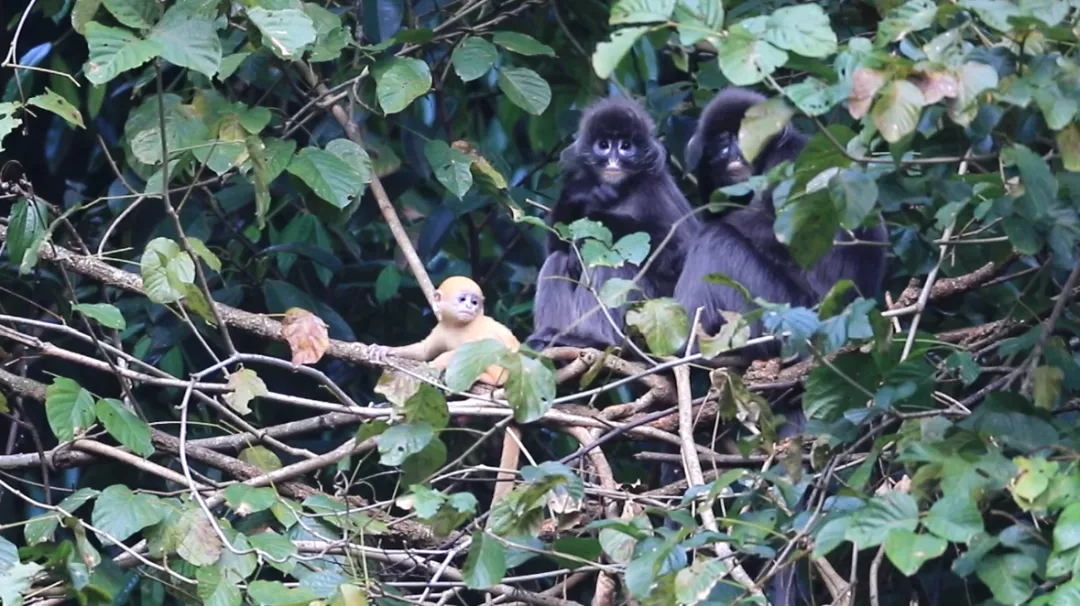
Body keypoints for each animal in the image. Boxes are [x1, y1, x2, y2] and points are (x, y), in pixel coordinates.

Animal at [367, 276, 522, 503]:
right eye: (463, 299)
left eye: (474, 302)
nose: (470, 306)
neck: (457, 326)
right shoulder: (441, 329)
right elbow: (423, 350)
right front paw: (385, 349)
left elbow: (468, 351)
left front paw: (433, 366)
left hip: (509, 370)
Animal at [524, 98, 699, 349]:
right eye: (604, 145)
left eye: (625, 146)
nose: (613, 161)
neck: (622, 190)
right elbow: (556, 245)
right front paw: (580, 195)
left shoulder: (654, 190)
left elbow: (680, 254)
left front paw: (597, 219)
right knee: (558, 258)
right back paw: (549, 336)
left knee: (609, 257)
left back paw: (592, 339)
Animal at [678, 87, 889, 356]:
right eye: (724, 142)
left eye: (748, 134)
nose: (736, 152)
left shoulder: (787, 162)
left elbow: (777, 231)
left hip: (789, 314)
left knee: (714, 240)